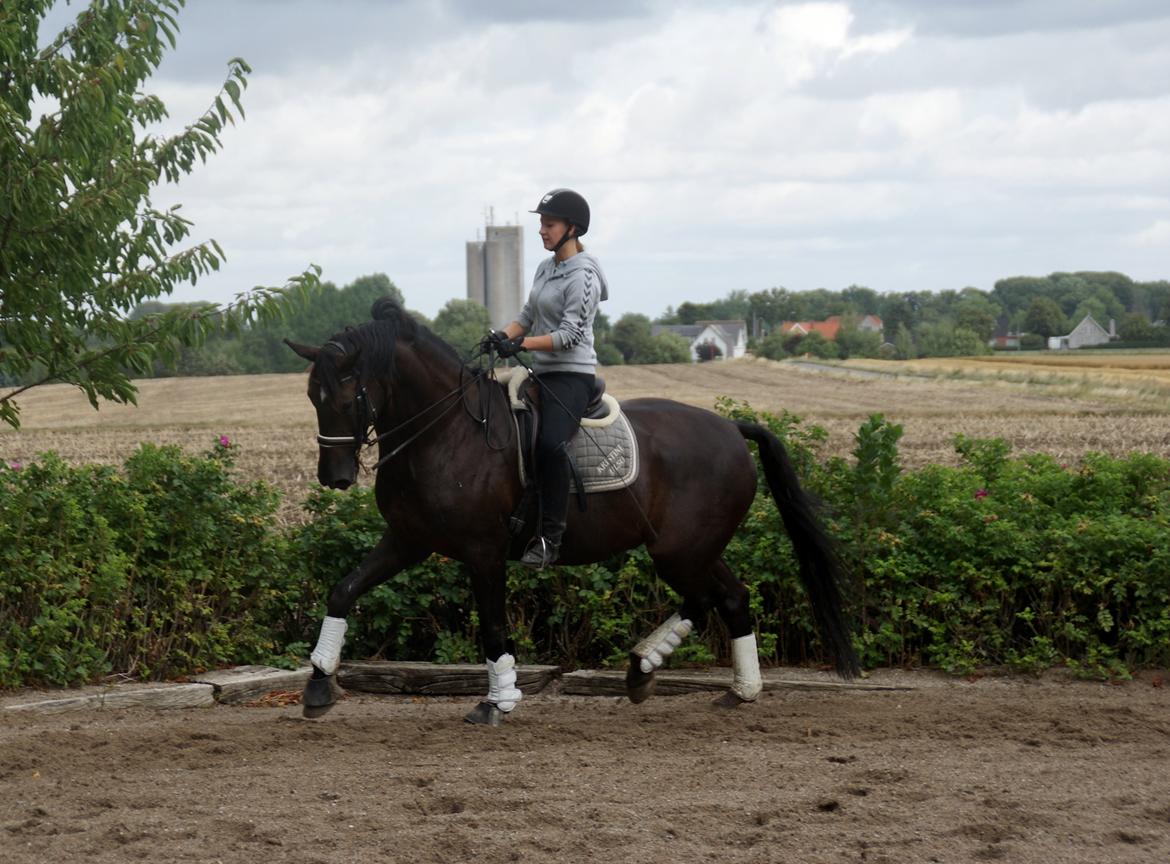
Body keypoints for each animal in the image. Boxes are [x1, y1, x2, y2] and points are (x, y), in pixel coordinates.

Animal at [284, 299, 861, 725]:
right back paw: (714, 686)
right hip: (693, 547)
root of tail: (733, 429)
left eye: (346, 396)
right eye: (312, 397)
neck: (447, 431)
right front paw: (318, 684)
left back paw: (659, 671)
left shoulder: (483, 552)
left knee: (709, 598)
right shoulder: (407, 540)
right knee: (729, 598)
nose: (333, 477)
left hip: (681, 550)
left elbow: (492, 628)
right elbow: (343, 590)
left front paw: (497, 702)